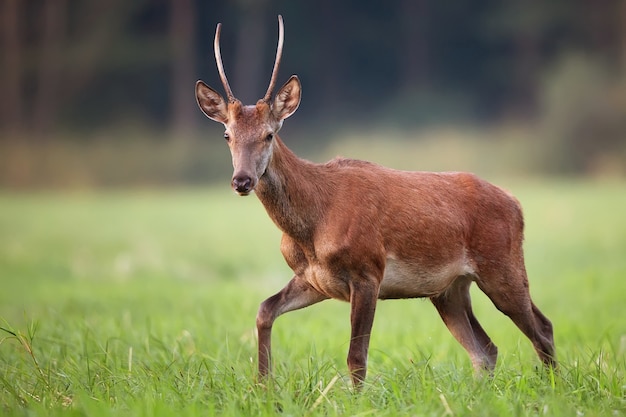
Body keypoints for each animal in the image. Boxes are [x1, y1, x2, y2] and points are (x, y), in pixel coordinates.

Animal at [195, 16, 556, 386]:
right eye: (227, 135)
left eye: (269, 134)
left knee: (542, 328)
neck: (313, 226)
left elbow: (356, 357)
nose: (242, 180)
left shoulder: (368, 270)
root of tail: (516, 203)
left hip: (502, 265)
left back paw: (553, 385)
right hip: (449, 288)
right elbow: (264, 310)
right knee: (486, 348)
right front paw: (263, 385)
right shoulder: (314, 279)